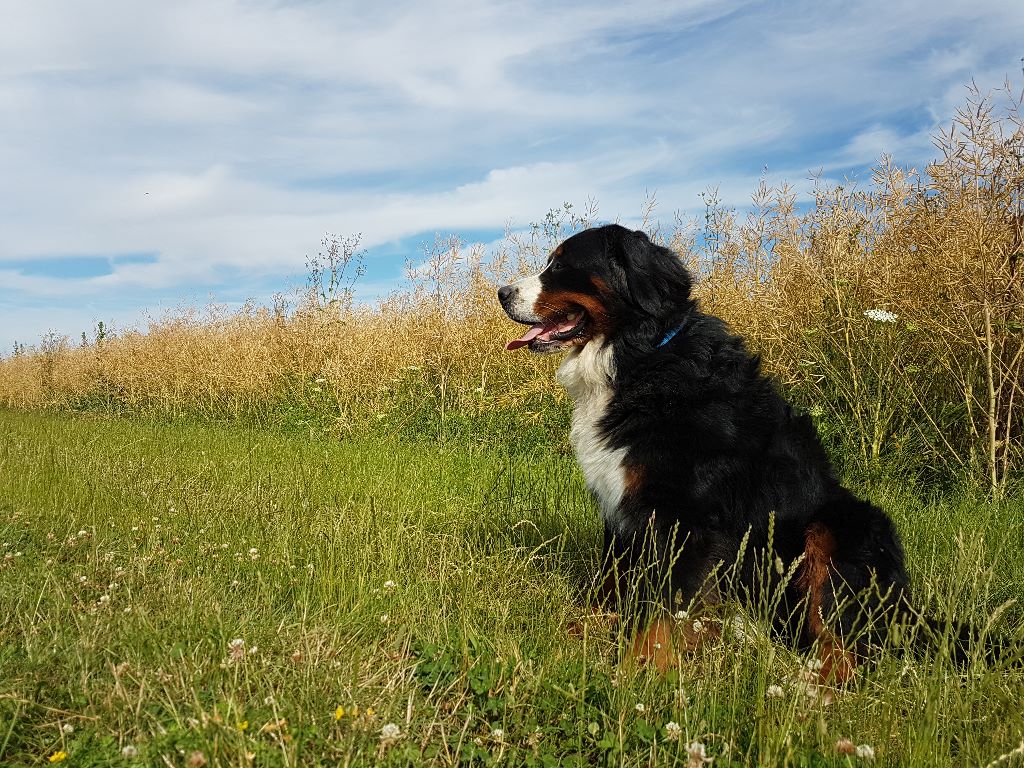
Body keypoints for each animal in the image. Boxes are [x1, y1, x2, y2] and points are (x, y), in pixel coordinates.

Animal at [499, 225, 909, 684]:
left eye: (562, 265)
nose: (501, 293)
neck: (642, 358)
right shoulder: (621, 507)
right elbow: (613, 581)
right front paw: (584, 630)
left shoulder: (684, 517)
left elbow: (664, 603)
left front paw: (643, 665)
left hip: (839, 529)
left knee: (844, 647)